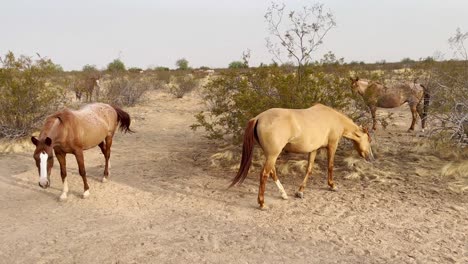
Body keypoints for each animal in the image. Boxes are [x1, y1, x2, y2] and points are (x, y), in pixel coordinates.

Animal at [229, 104, 374, 209]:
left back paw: (283, 194)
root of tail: (258, 117)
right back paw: (262, 203)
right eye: (369, 139)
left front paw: (300, 191)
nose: (371, 157)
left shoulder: (314, 150)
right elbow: (330, 166)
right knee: (264, 173)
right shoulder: (332, 146)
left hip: (271, 155)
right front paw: (332, 186)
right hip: (273, 154)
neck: (334, 119)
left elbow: (309, 169)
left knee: (272, 172)